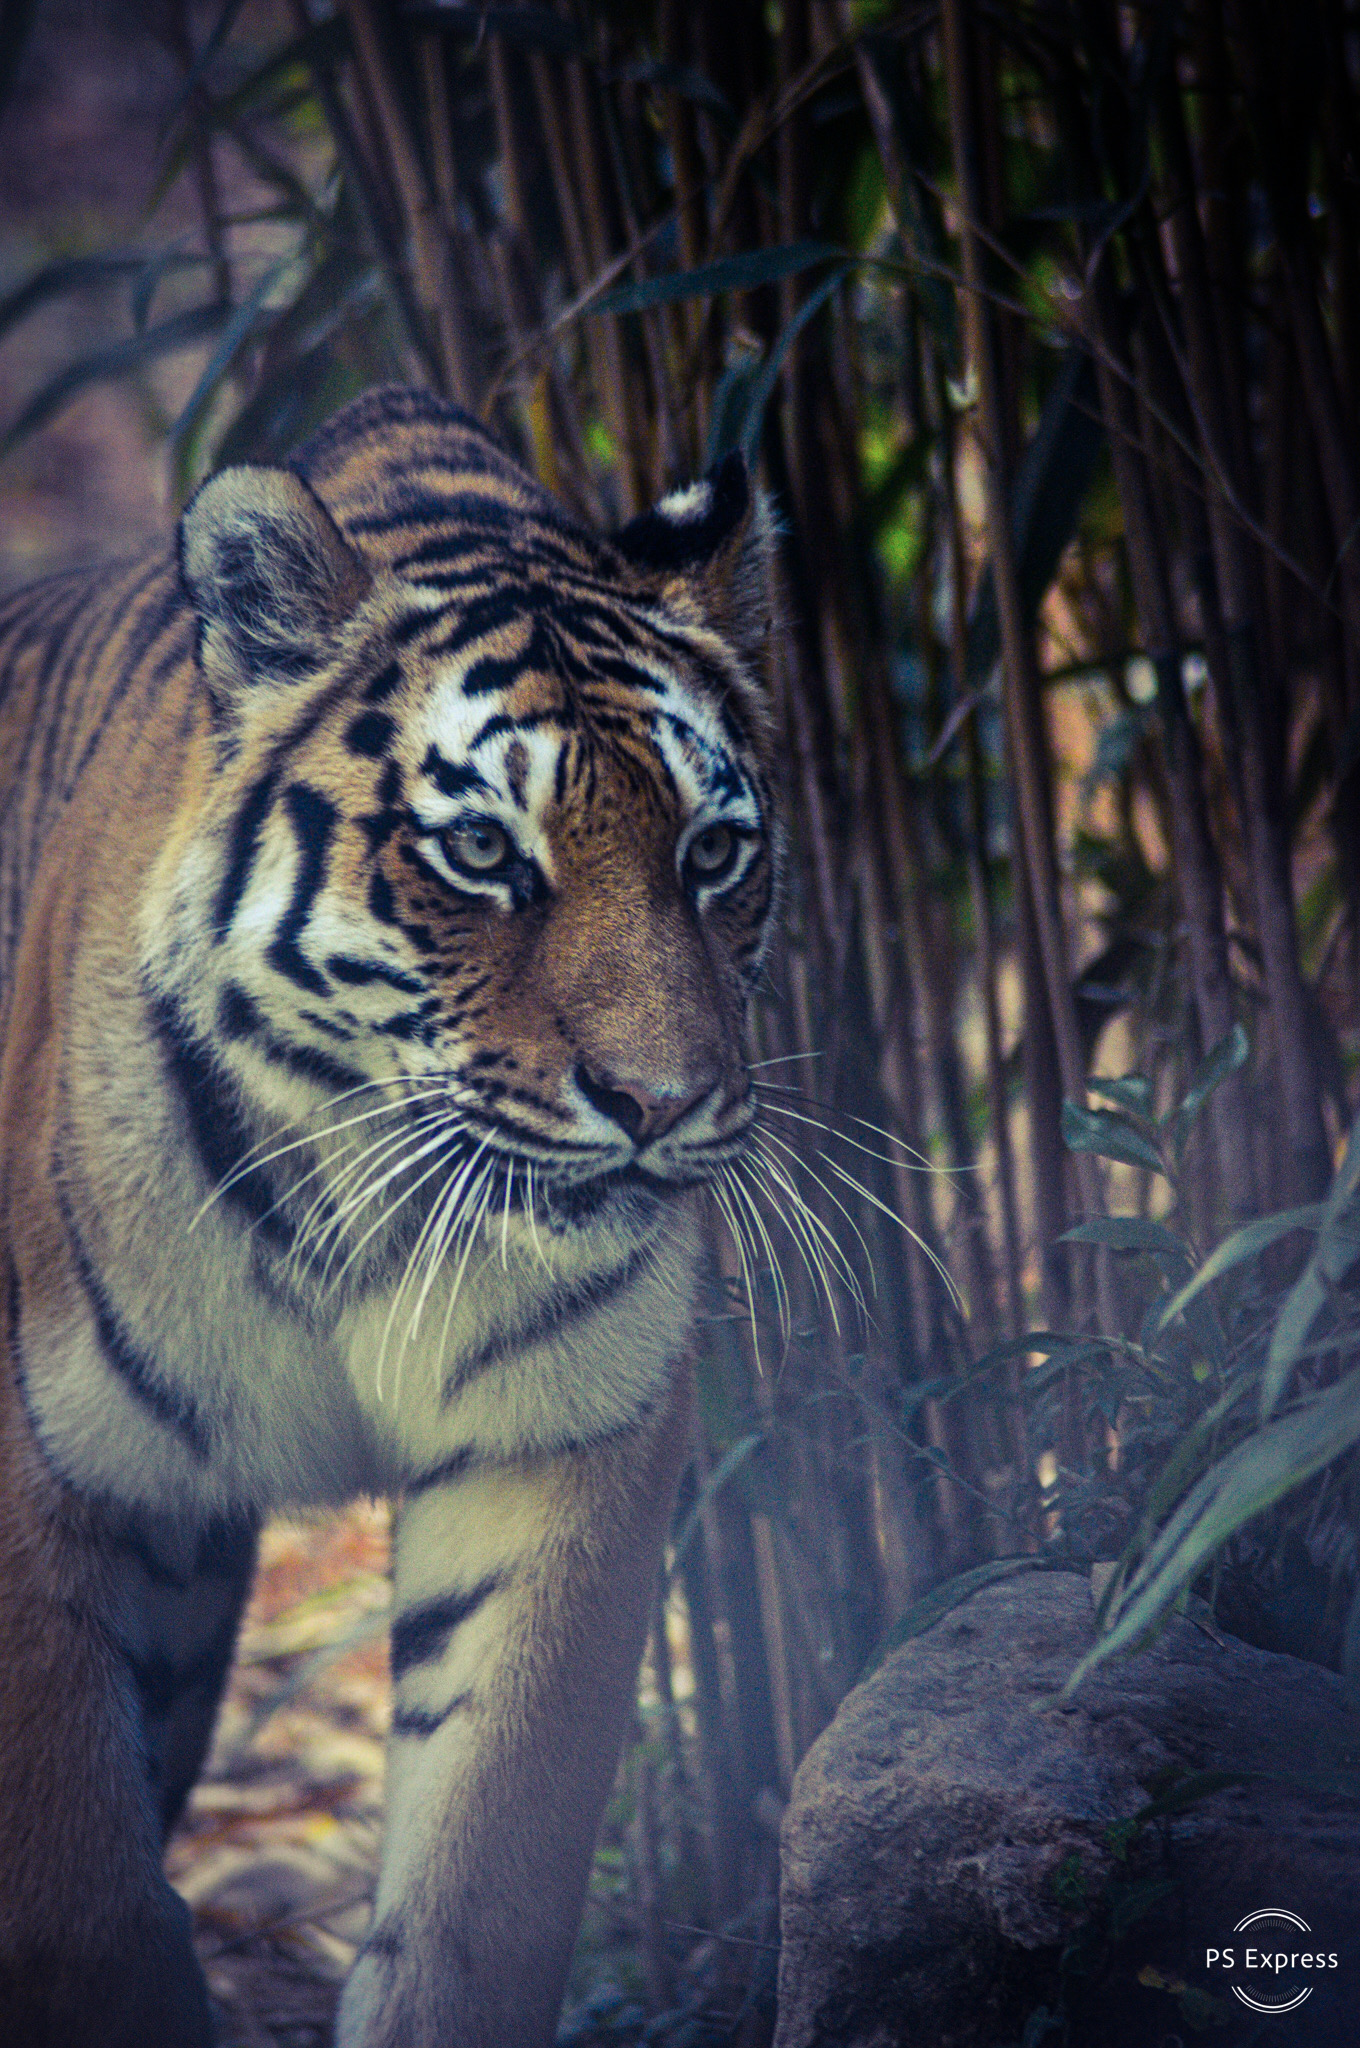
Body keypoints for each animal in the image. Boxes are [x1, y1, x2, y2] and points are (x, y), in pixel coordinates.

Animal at [0, 384, 780, 2048]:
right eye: (481, 853)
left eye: (714, 854)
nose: (663, 1101)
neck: (368, 1217)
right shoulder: (40, 1485)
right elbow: (84, 1901)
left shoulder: (556, 1452)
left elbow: (483, 1887)